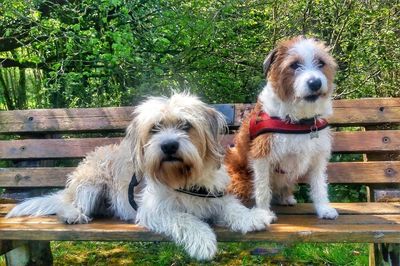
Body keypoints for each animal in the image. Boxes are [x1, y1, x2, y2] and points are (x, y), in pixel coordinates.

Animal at [7, 92, 276, 260]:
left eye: (185, 125)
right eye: (155, 128)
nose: (168, 146)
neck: (183, 178)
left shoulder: (215, 195)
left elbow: (233, 207)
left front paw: (252, 217)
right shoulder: (154, 210)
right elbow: (185, 219)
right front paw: (203, 241)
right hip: (92, 182)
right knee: (68, 204)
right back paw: (72, 214)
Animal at [227, 35, 340, 222]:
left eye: (321, 62)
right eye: (294, 65)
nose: (315, 83)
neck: (299, 120)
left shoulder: (317, 157)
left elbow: (319, 186)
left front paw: (324, 209)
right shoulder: (262, 155)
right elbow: (263, 189)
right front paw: (264, 213)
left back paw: (286, 198)